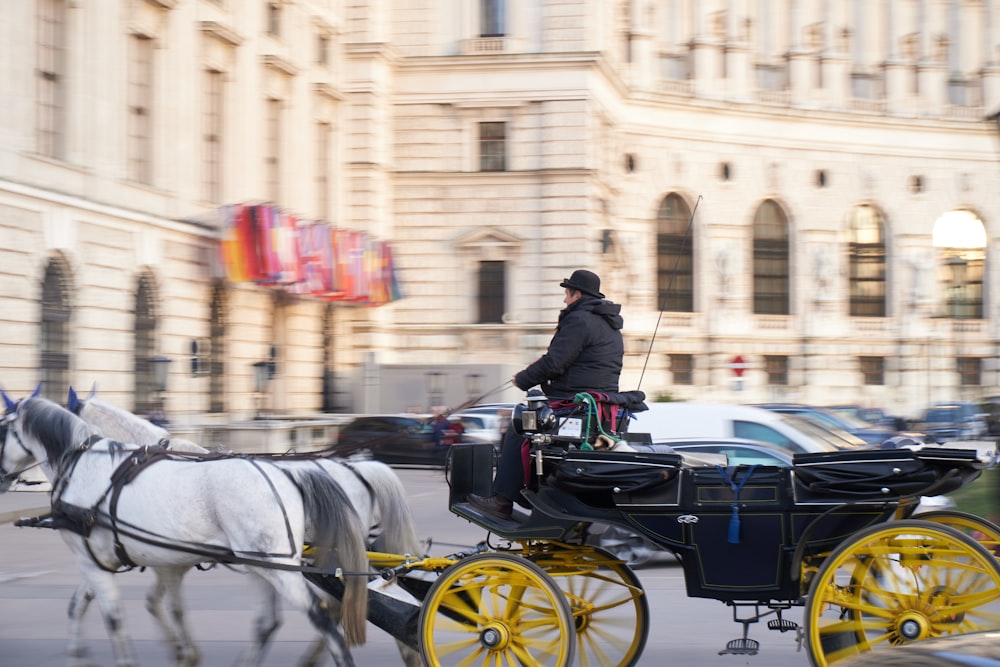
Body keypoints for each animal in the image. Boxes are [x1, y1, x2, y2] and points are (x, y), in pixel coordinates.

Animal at [0, 392, 368, 667]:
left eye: (2, 430)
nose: (3, 479)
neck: (83, 464)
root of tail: (288, 474)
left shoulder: (96, 560)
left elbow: (116, 617)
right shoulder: (119, 560)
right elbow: (83, 604)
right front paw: (79, 654)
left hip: (276, 567)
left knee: (322, 616)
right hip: (260, 564)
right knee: (269, 621)